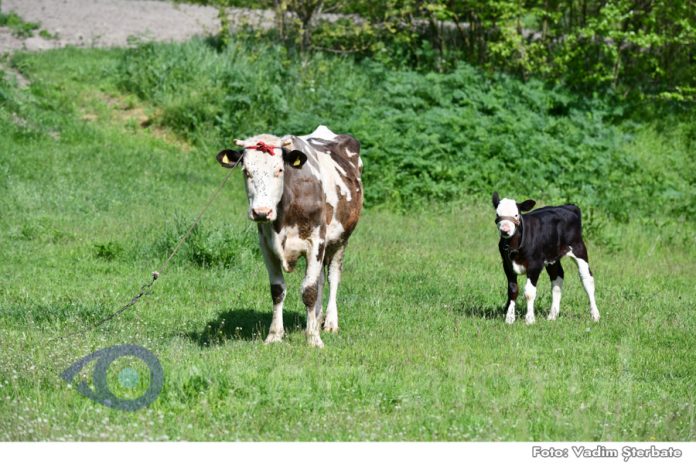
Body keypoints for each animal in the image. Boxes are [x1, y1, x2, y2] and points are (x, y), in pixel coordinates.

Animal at [216, 125, 363, 347]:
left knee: (333, 277)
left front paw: (313, 339)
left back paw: (329, 322)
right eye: (246, 171)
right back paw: (316, 318)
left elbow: (309, 291)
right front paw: (275, 335)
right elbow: (278, 291)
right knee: (320, 280)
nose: (261, 212)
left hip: (341, 240)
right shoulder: (266, 245)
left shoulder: (316, 242)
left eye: (279, 170)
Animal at [492, 192, 600, 324]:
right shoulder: (507, 265)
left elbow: (529, 292)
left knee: (587, 279)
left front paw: (530, 319)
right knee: (557, 278)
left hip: (579, 249)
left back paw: (595, 315)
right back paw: (552, 315)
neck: (515, 246)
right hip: (552, 258)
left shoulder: (535, 265)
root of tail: (569, 206)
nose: (505, 230)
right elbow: (512, 290)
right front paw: (509, 318)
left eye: (516, 215)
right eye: (498, 214)